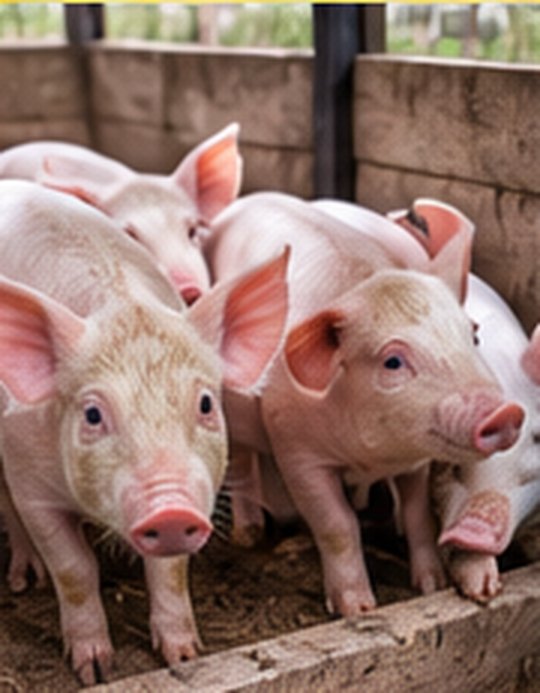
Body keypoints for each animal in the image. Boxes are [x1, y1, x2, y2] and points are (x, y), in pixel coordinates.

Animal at [0, 181, 289, 685]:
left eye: (206, 404)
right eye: (93, 414)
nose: (170, 510)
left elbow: (169, 572)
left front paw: (185, 656)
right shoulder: (30, 483)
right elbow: (74, 569)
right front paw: (94, 671)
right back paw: (24, 579)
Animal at [206, 191, 524, 616]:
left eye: (472, 335)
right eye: (393, 361)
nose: (506, 412)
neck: (373, 457)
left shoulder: (416, 462)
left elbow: (418, 515)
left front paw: (431, 586)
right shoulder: (296, 450)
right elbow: (337, 524)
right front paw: (357, 609)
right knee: (240, 458)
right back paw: (249, 534)